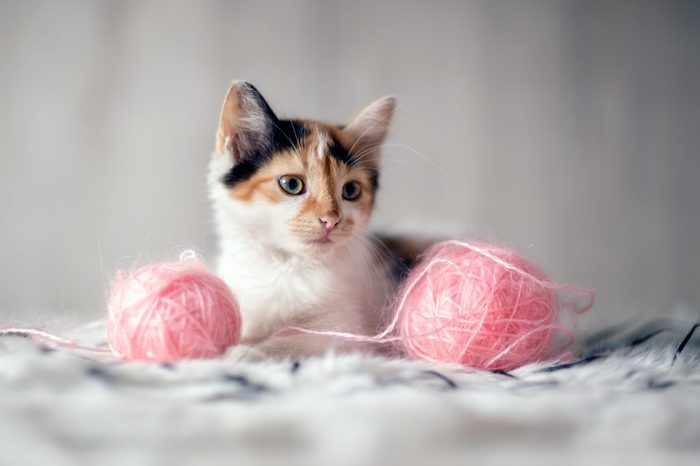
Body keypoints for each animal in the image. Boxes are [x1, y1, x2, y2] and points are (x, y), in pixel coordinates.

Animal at [205, 81, 396, 360]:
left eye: (351, 191)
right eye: (292, 184)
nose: (331, 220)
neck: (285, 265)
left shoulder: (346, 327)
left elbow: (296, 340)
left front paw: (244, 352)